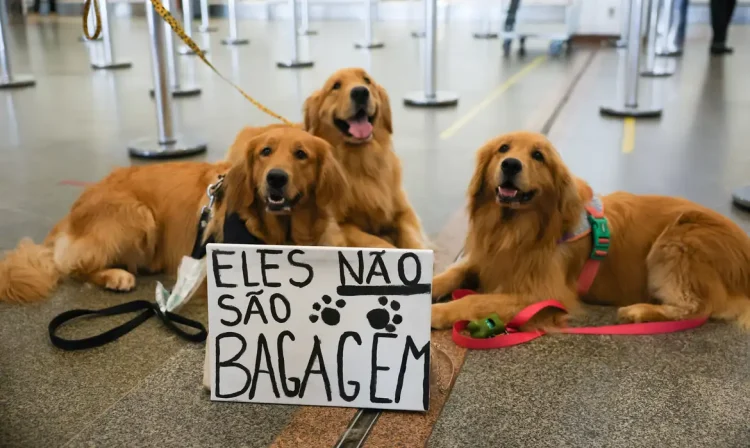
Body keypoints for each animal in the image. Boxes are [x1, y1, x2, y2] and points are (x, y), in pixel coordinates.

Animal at [0, 126, 350, 304]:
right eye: (266, 152)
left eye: (301, 154)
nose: (276, 178)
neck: (284, 233)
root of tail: (73, 211)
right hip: (137, 216)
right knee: (75, 266)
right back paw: (116, 276)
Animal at [226, 69, 428, 252]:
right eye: (336, 86)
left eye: (367, 80)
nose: (360, 92)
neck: (361, 162)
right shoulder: (339, 224)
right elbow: (378, 242)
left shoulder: (403, 211)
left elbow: (413, 237)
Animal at [428, 131, 750, 330]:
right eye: (503, 148)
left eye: (538, 155)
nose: (510, 164)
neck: (513, 228)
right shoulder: (485, 259)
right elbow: (452, 273)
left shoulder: (543, 293)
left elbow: (475, 299)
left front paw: (436, 312)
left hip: (678, 239)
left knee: (697, 307)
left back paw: (639, 311)